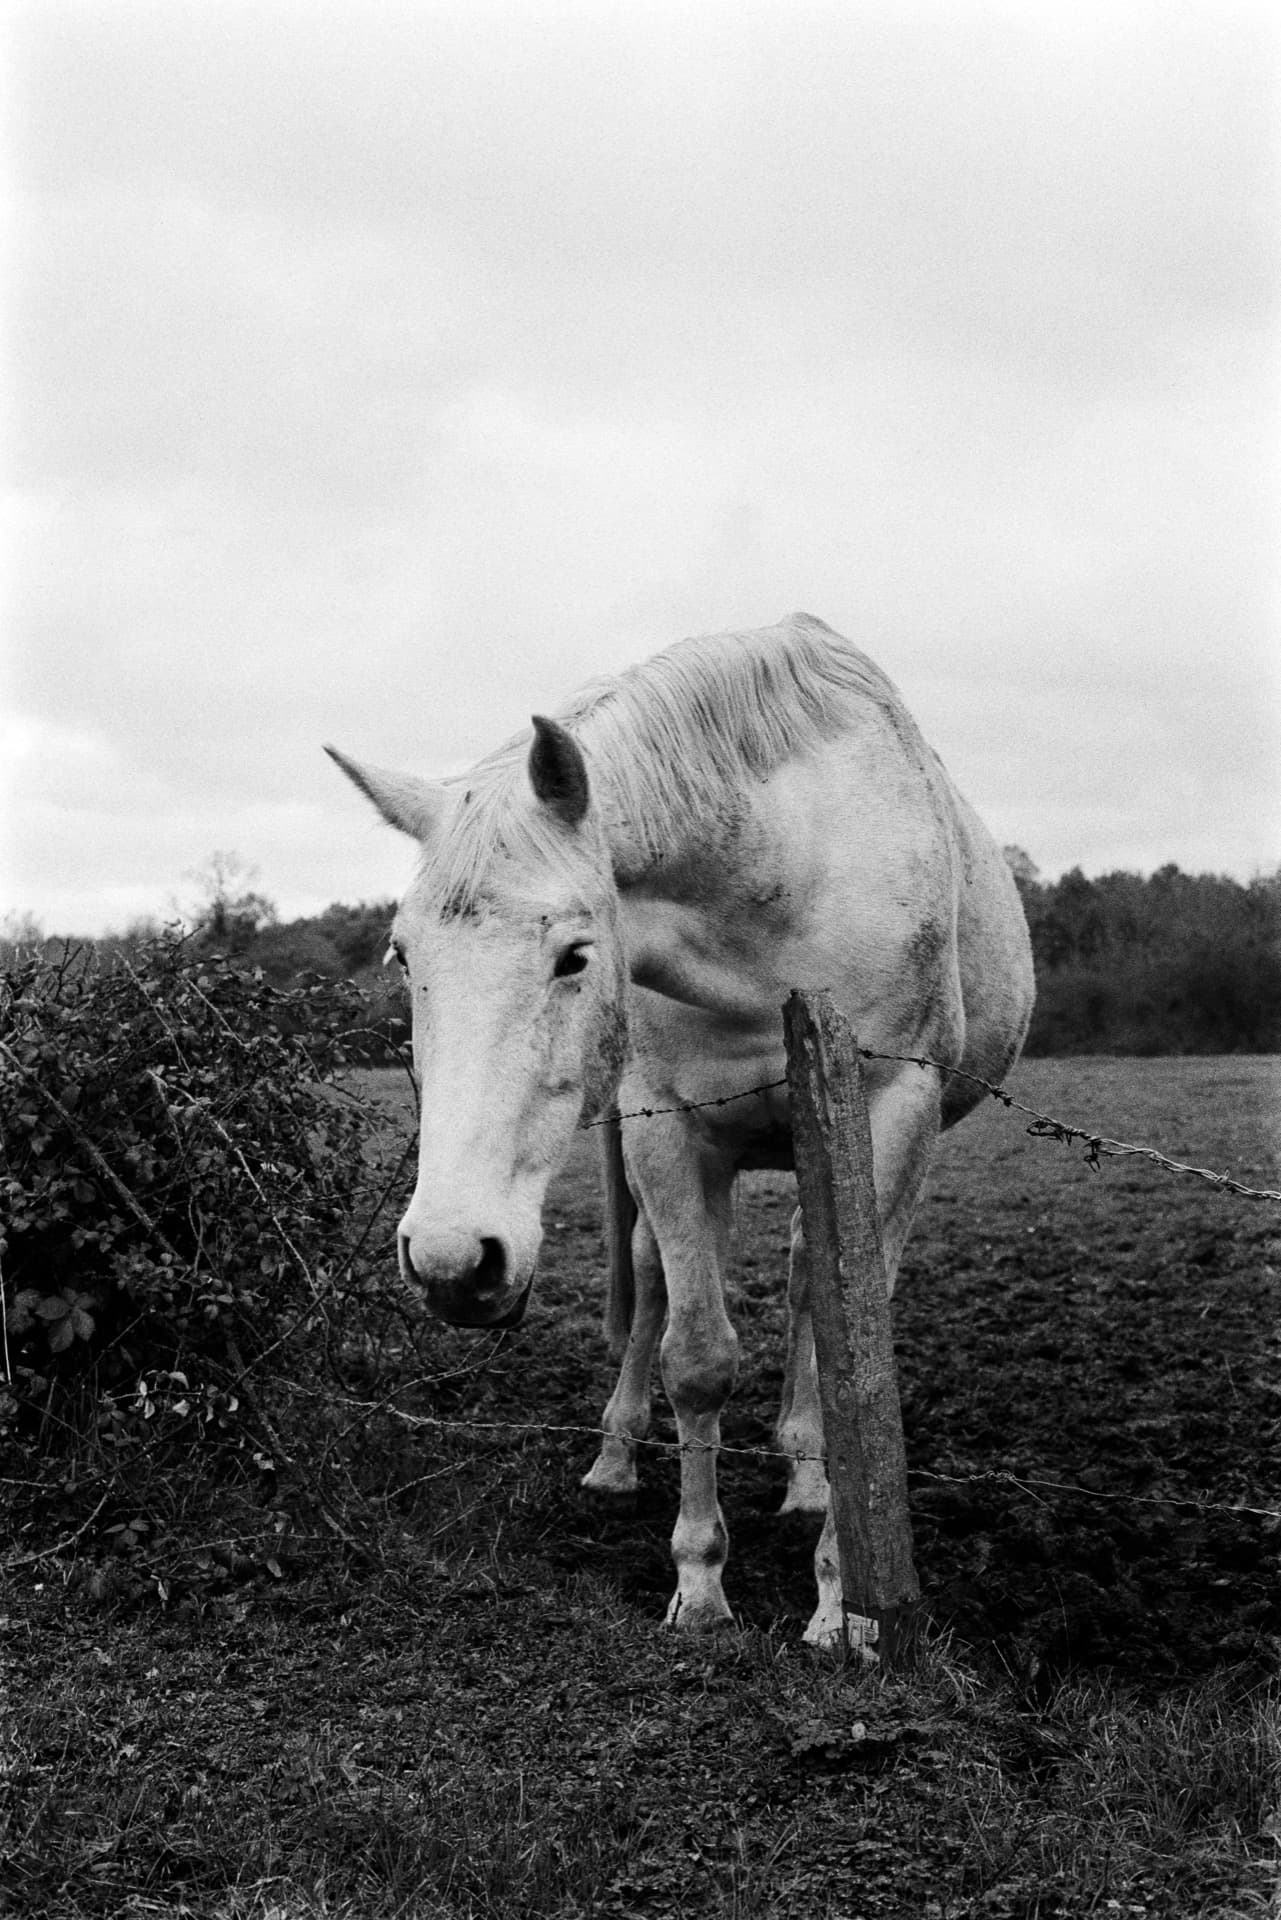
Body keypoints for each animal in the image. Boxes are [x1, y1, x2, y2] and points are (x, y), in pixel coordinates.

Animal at [328, 612, 1034, 1645]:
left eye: (575, 955)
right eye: (402, 956)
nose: (454, 1262)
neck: (779, 891)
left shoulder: (895, 1117)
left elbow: (854, 1360)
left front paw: (845, 1612)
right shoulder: (673, 1135)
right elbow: (694, 1358)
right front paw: (700, 1588)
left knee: (807, 1284)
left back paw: (808, 1479)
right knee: (659, 1281)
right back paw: (619, 1457)